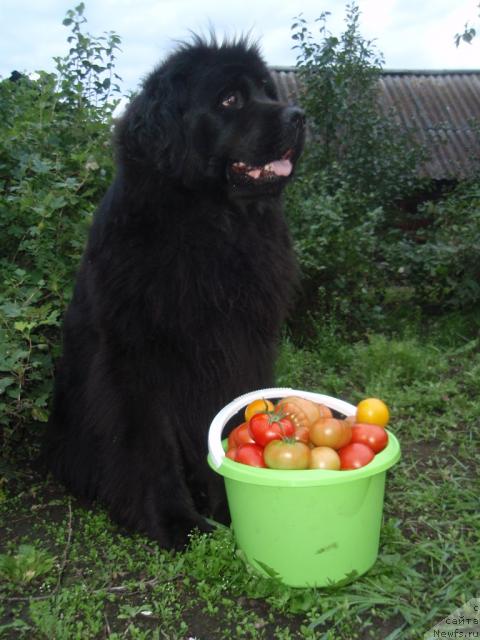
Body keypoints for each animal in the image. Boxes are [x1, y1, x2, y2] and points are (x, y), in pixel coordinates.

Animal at [44, 35, 304, 548]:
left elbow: (228, 421)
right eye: (230, 99)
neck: (211, 225)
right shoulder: (136, 363)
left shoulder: (237, 348)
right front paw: (175, 522)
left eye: (268, 91)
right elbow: (150, 445)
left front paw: (229, 505)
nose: (298, 115)